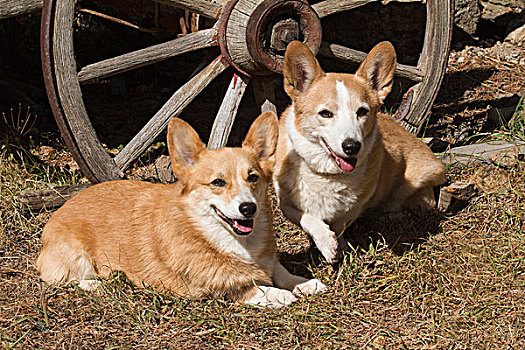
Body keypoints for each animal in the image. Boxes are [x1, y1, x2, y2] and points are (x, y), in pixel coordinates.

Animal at [36, 112, 324, 306]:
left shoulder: (268, 262)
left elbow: (280, 271)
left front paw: (304, 283)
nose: (248, 208)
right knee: (66, 278)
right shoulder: (215, 290)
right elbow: (253, 288)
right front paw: (281, 295)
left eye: (253, 177)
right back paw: (98, 285)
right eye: (218, 182)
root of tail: (57, 214)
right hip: (77, 259)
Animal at [272, 41, 444, 262]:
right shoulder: (286, 204)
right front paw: (326, 243)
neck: (328, 175)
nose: (352, 146)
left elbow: (340, 226)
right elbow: (308, 218)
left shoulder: (354, 208)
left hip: (416, 179)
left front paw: (339, 246)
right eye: (325, 113)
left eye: (362, 111)